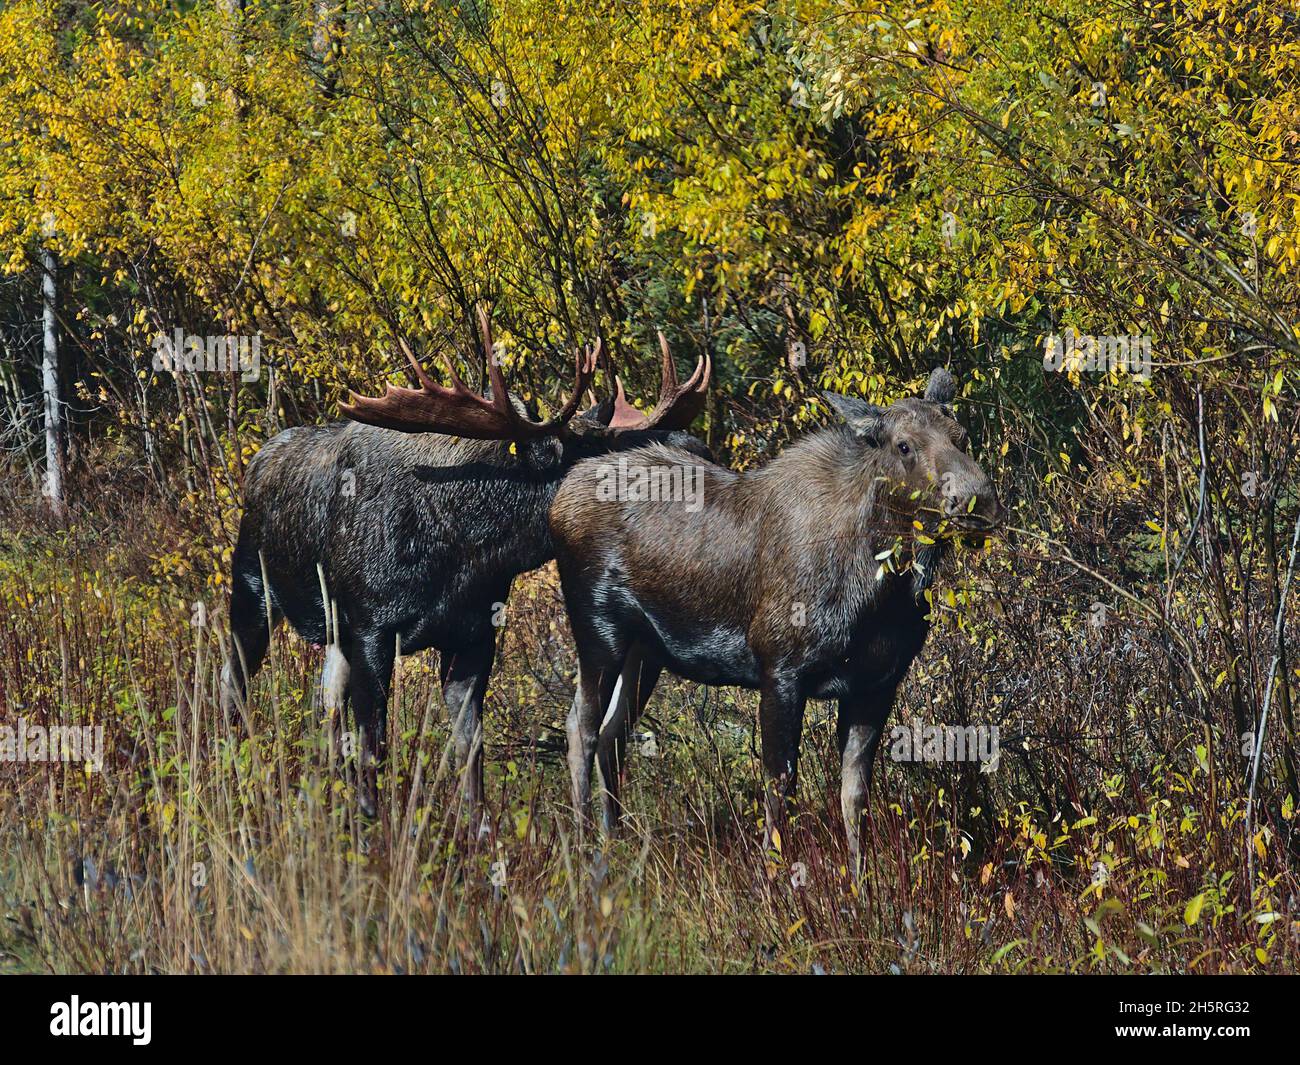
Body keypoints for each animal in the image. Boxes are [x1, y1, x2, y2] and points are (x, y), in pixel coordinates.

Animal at [222, 308, 712, 816]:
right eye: (604, 460)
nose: (693, 449)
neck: (464, 554)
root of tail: (257, 460)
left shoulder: (473, 635)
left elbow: (470, 753)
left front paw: (475, 827)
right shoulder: (373, 627)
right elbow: (374, 746)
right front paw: (372, 821)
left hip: (333, 634)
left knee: (324, 710)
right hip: (253, 588)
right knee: (233, 683)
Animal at [548, 366, 1003, 868]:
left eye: (963, 435)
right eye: (903, 445)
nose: (979, 502)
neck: (880, 591)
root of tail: (560, 494)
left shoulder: (877, 684)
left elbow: (854, 794)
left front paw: (861, 880)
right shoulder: (781, 670)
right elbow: (779, 785)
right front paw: (773, 874)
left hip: (645, 652)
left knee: (613, 734)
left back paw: (611, 849)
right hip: (598, 631)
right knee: (581, 727)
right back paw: (581, 847)